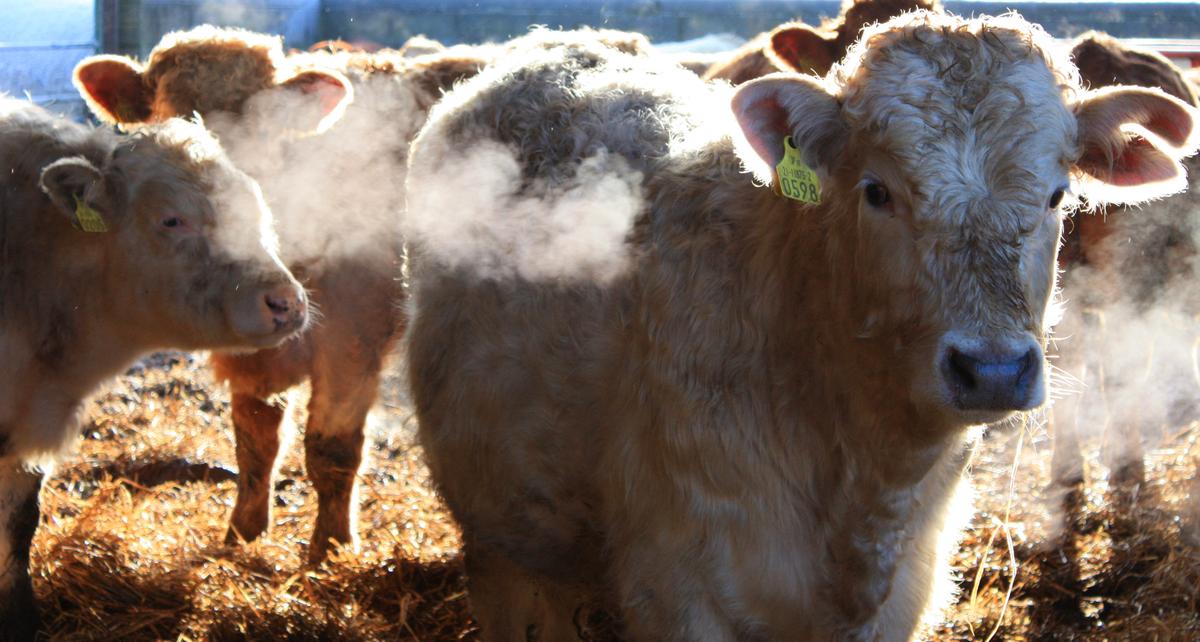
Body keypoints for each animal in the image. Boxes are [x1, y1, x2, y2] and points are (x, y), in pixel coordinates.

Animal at [73, 26, 487, 562]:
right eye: (166, 116)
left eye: (261, 124)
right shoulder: (251, 349)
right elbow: (255, 442)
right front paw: (243, 533)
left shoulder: (352, 339)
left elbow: (331, 448)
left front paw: (331, 547)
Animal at [402, 12, 1199, 641]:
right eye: (876, 191)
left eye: (1058, 195)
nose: (994, 370)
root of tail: (560, 42)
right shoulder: (677, 587)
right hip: (494, 539)